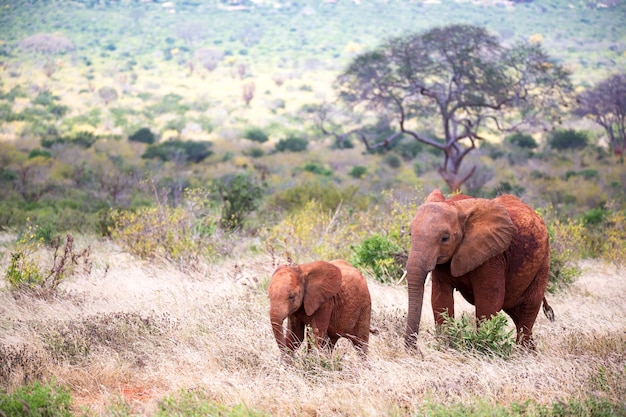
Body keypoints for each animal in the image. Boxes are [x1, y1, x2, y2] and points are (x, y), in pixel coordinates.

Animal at [402, 188, 552, 348]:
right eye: (410, 234)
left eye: (445, 238)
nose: (416, 350)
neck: (456, 206)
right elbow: (440, 300)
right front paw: (446, 346)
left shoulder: (492, 256)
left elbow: (488, 302)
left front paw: (483, 347)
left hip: (543, 261)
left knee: (527, 311)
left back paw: (521, 351)